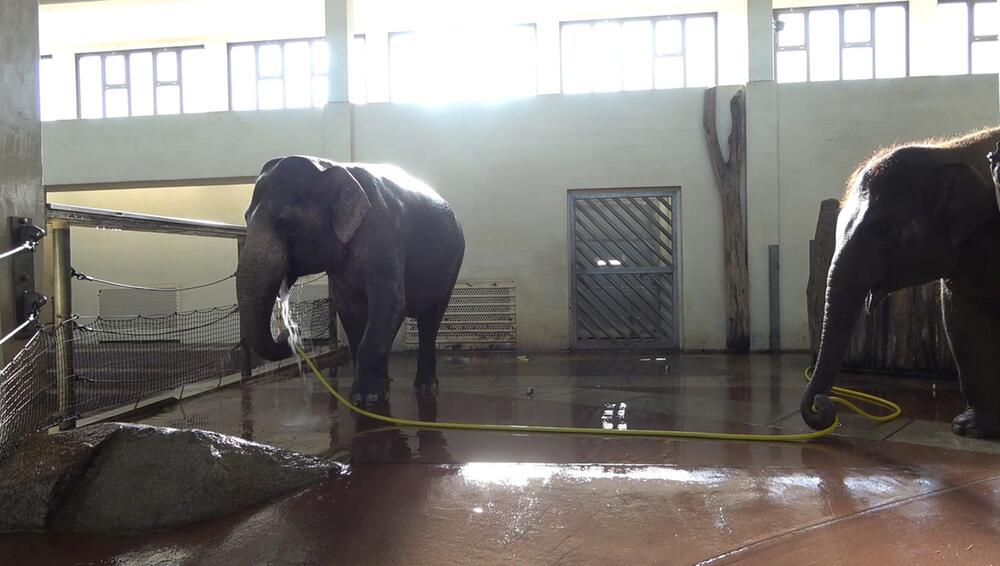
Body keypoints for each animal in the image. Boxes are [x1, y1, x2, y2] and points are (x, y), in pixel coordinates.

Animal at [237, 156, 464, 408]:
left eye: (286, 223)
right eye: (245, 219)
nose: (289, 333)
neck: (333, 167)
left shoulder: (385, 235)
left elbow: (391, 304)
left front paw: (368, 399)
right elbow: (349, 310)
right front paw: (367, 395)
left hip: (453, 262)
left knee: (431, 318)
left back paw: (426, 387)